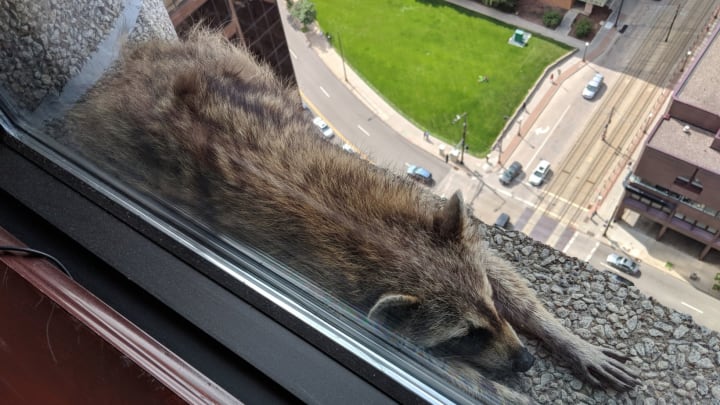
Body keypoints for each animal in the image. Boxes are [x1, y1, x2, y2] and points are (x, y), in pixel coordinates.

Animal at [68, 30, 640, 400]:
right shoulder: (338, 286)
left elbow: (501, 271)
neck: (383, 242)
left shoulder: (415, 205)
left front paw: (561, 334)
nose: (524, 361)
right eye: (465, 336)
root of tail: (133, 66)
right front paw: (490, 383)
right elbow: (413, 350)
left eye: (489, 305)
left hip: (224, 60)